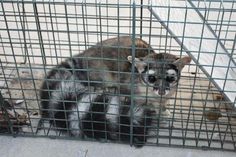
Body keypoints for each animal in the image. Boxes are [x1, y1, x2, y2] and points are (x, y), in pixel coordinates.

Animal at [40, 36, 192, 147]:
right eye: (152, 78)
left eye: (170, 78)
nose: (161, 92)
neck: (151, 93)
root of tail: (84, 55)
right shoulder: (130, 87)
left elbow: (161, 104)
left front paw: (163, 110)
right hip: (99, 73)